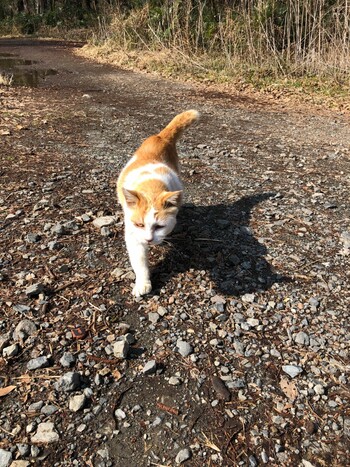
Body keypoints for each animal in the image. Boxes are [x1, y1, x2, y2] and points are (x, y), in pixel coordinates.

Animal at [117, 110, 200, 296]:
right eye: (139, 224)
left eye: (159, 226)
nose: (148, 240)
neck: (151, 188)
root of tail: (160, 137)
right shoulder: (133, 236)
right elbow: (139, 262)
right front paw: (142, 283)